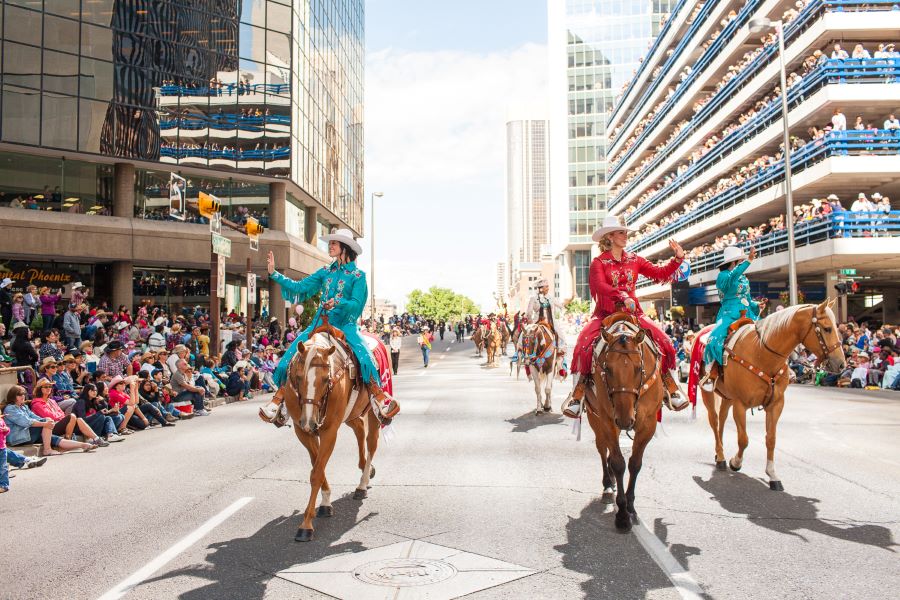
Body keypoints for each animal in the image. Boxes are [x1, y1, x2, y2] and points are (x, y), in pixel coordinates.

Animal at [282, 324, 380, 544]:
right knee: (359, 429)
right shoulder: (303, 432)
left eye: (326, 379)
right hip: (351, 414)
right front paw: (325, 503)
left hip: (373, 411)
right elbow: (317, 465)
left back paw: (362, 484)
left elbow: (316, 472)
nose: (309, 421)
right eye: (298, 377)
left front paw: (306, 526)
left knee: (371, 441)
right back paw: (365, 468)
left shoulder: (329, 430)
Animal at [584, 316, 668, 532]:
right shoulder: (607, 420)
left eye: (639, 368)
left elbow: (635, 464)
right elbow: (618, 463)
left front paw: (630, 505)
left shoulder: (648, 424)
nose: (624, 419)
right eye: (607, 369)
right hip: (595, 418)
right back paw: (608, 484)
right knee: (602, 448)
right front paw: (622, 514)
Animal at [704, 300, 844, 492]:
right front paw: (736, 462)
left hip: (727, 396)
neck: (761, 353)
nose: (842, 364)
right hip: (709, 394)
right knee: (714, 420)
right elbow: (743, 439)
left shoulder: (776, 404)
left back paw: (720, 454)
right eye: (827, 328)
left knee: (722, 419)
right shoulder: (740, 404)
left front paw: (772, 475)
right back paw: (721, 456)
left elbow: (771, 439)